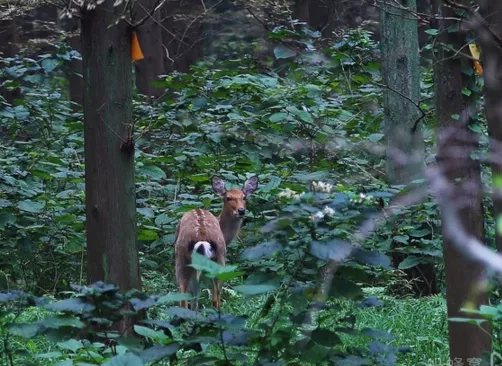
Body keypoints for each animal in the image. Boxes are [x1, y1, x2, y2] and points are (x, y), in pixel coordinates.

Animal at [175, 176, 258, 310]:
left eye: (244, 197)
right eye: (228, 198)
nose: (241, 210)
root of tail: (201, 237)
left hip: (182, 257)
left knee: (184, 297)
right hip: (219, 259)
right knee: (215, 298)